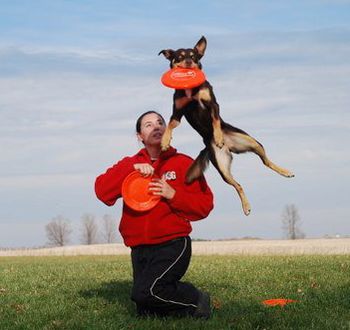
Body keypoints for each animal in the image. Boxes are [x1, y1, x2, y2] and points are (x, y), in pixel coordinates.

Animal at [160, 36, 294, 217]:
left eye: (194, 56)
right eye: (179, 57)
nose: (189, 62)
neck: (191, 91)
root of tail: (229, 146)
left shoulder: (213, 105)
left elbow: (215, 120)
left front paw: (217, 136)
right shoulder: (177, 112)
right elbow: (170, 125)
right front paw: (165, 141)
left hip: (253, 142)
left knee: (266, 162)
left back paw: (285, 171)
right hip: (223, 168)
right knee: (238, 185)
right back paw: (246, 206)